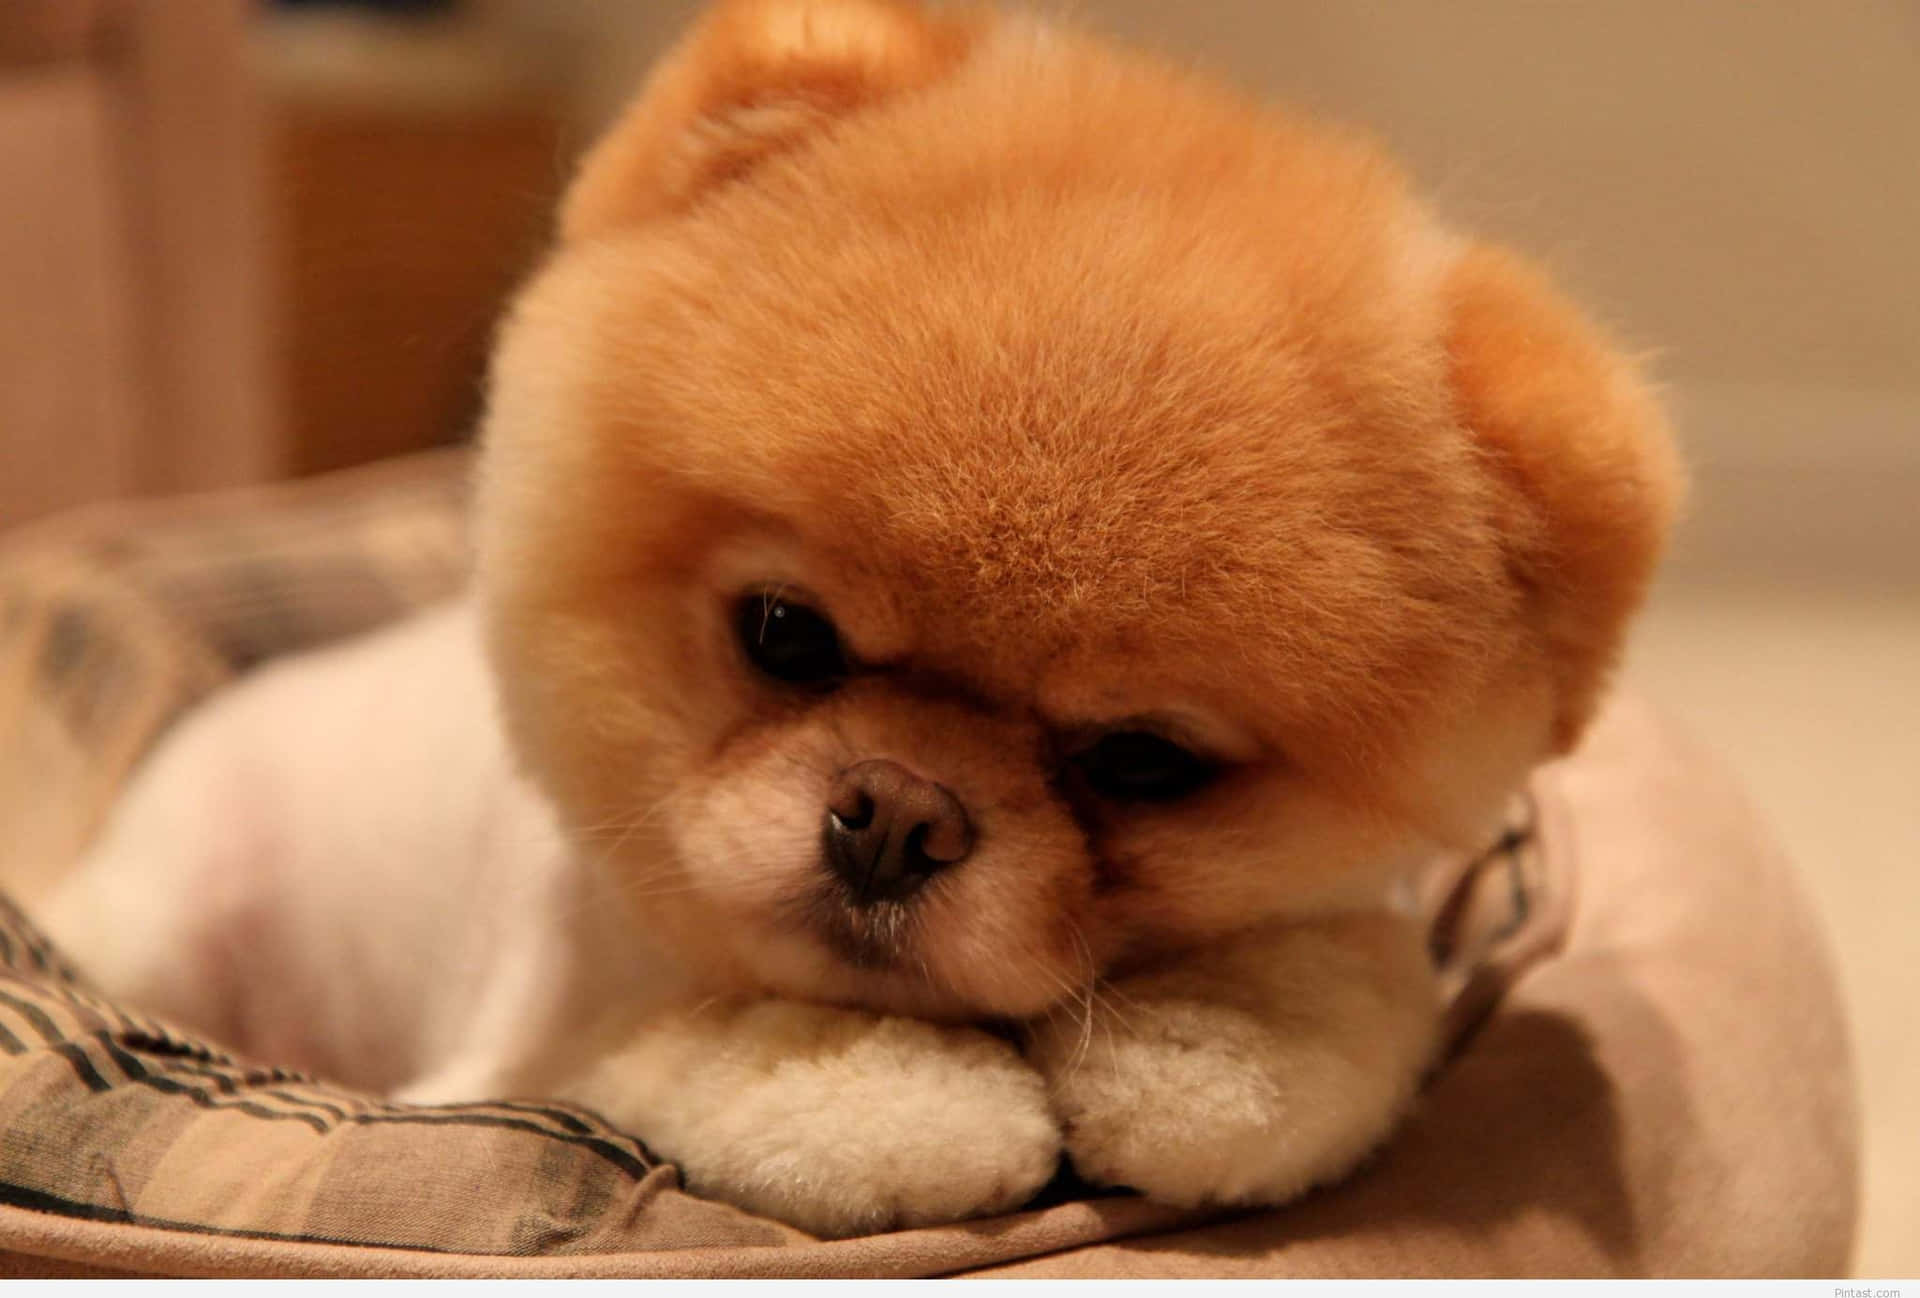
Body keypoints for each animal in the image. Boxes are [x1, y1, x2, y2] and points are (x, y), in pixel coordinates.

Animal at [37, 0, 1674, 1244]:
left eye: (1143, 761)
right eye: (785, 634)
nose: (894, 810)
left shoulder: (1364, 920)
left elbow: (1354, 989)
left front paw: (1211, 1050)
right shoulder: (523, 1046)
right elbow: (684, 1045)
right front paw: (890, 1101)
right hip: (176, 914)